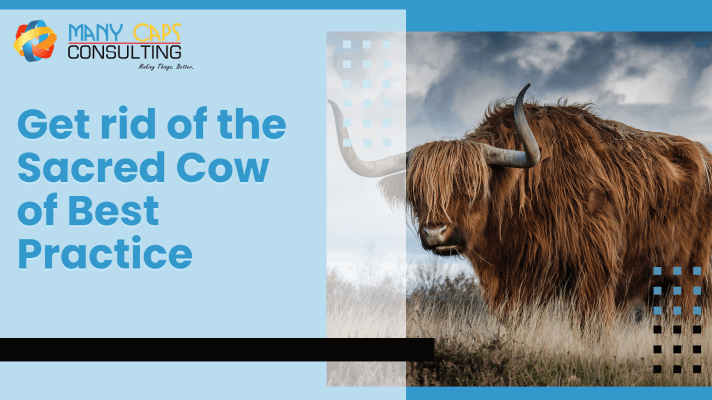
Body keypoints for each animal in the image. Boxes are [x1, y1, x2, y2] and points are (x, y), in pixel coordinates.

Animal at [328, 84, 712, 326]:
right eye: (417, 192)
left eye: (472, 186)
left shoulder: (595, 273)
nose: (435, 232)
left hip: (688, 278)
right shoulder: (510, 285)